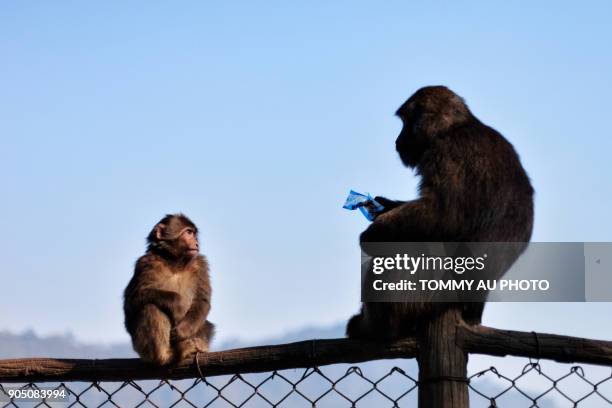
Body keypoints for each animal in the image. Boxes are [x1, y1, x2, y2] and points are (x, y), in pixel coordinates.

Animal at [123, 215, 214, 364]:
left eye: (194, 233)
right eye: (189, 232)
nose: (196, 242)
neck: (175, 262)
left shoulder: (201, 264)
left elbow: (202, 300)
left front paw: (183, 330)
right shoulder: (145, 263)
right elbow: (132, 300)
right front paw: (178, 305)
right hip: (141, 347)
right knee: (150, 306)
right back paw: (165, 356)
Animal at [346, 85, 532, 342]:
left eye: (406, 122)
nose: (397, 140)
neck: (455, 128)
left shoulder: (448, 151)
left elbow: (444, 214)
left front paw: (373, 232)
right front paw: (383, 205)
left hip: (425, 298)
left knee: (404, 248)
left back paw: (376, 328)